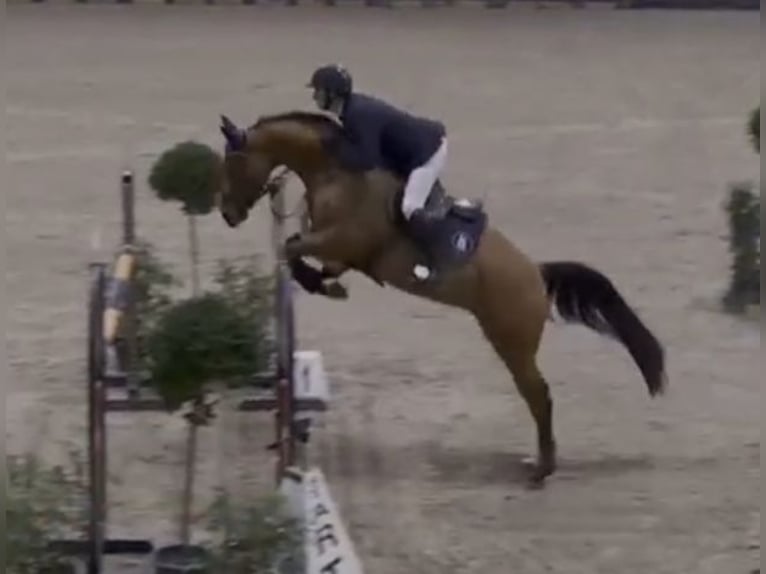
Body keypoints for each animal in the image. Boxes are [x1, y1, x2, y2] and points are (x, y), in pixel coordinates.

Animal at [215, 109, 667, 488]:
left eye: (233, 163)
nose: (227, 215)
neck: (335, 172)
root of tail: (537, 275)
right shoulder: (339, 252)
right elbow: (299, 251)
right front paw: (324, 284)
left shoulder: (341, 240)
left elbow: (291, 247)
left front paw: (323, 285)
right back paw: (540, 464)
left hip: (512, 343)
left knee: (539, 396)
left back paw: (542, 470)